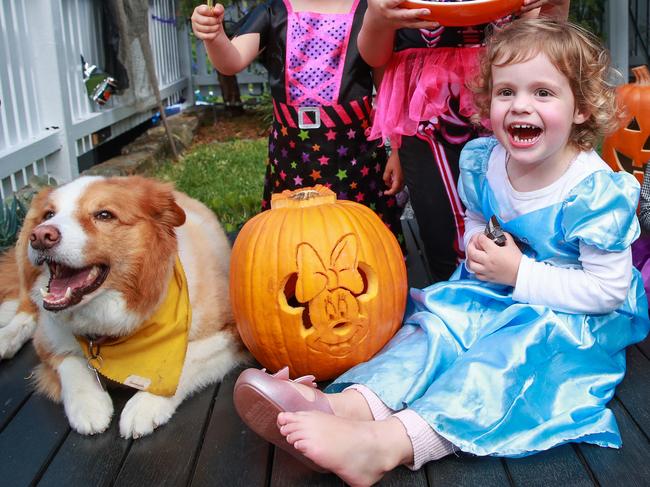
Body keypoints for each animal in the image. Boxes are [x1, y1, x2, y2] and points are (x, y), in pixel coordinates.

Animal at [0, 177, 246, 440]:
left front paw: (144, 405)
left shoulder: (231, 332)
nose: (40, 235)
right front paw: (89, 406)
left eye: (104, 215)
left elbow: (186, 360)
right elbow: (70, 362)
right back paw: (5, 338)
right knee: (25, 309)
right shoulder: (47, 340)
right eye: (48, 214)